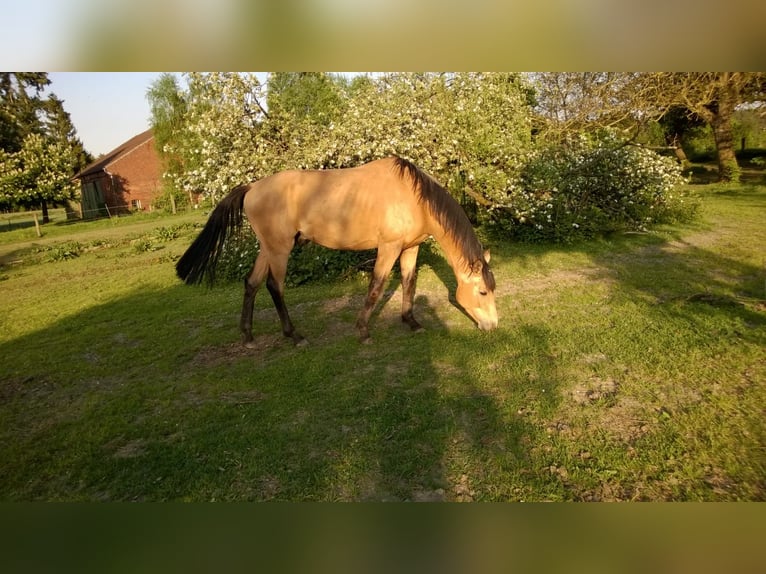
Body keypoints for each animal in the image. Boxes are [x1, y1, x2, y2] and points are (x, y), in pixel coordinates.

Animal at [176, 156, 498, 346]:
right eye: (482, 291)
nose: (494, 325)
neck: (414, 196)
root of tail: (252, 188)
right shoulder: (389, 247)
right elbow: (376, 286)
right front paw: (363, 331)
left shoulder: (410, 247)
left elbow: (409, 281)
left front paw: (412, 322)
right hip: (279, 250)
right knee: (274, 286)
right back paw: (294, 336)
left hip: (268, 249)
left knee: (252, 284)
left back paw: (248, 336)